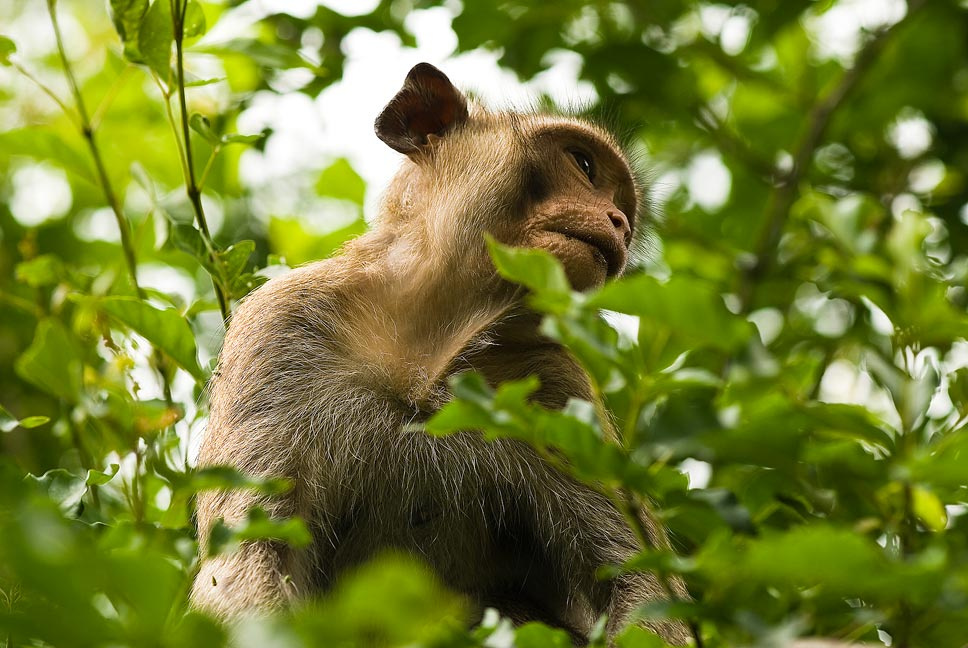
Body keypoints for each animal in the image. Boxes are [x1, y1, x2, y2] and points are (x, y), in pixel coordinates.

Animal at [190, 62, 692, 645]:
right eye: (584, 164)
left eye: (622, 203)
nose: (620, 222)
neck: (427, 342)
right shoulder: (278, 332)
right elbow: (253, 551)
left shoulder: (558, 386)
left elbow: (636, 584)